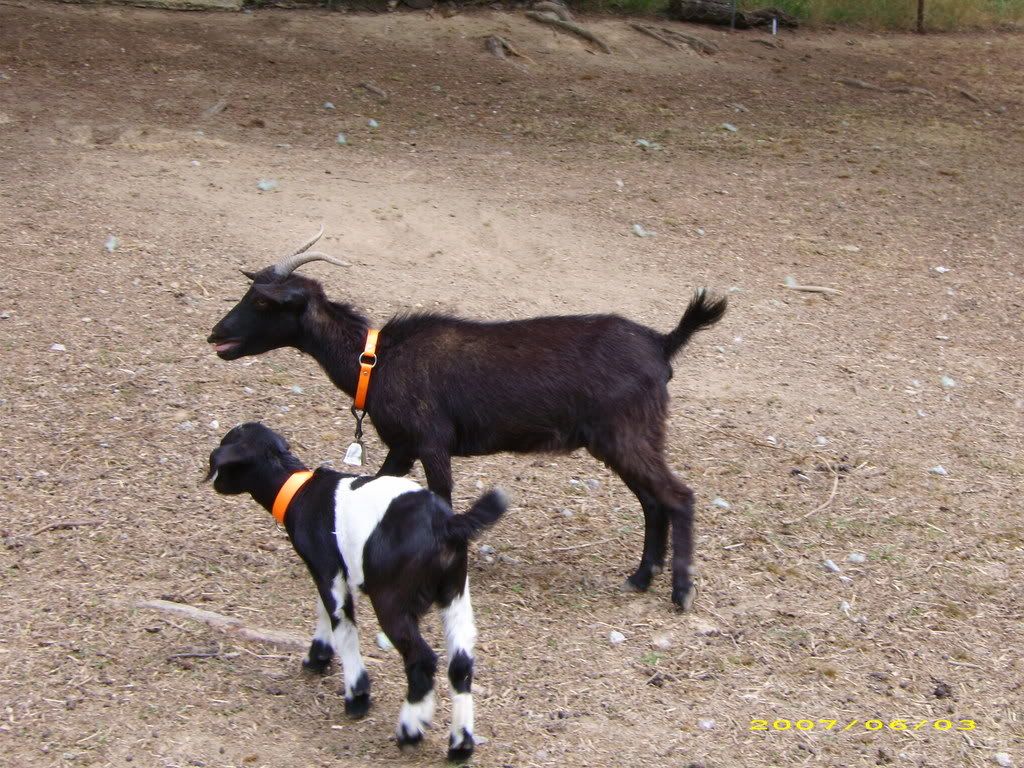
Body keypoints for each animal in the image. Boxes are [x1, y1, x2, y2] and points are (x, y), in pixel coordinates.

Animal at [206, 421, 507, 760]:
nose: (214, 481)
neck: (299, 491)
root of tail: (446, 525)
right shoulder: (332, 570)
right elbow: (325, 611)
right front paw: (317, 658)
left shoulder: (327, 570)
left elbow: (343, 626)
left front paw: (357, 696)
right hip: (455, 594)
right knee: (461, 664)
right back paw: (460, 745)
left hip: (391, 599)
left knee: (422, 659)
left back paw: (410, 730)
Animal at [207, 228, 727, 609]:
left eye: (262, 302)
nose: (215, 334)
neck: (375, 361)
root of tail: (662, 343)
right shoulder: (402, 444)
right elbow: (378, 483)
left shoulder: (432, 441)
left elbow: (441, 496)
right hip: (623, 438)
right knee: (653, 502)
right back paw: (640, 578)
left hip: (627, 433)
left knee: (677, 496)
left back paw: (680, 592)